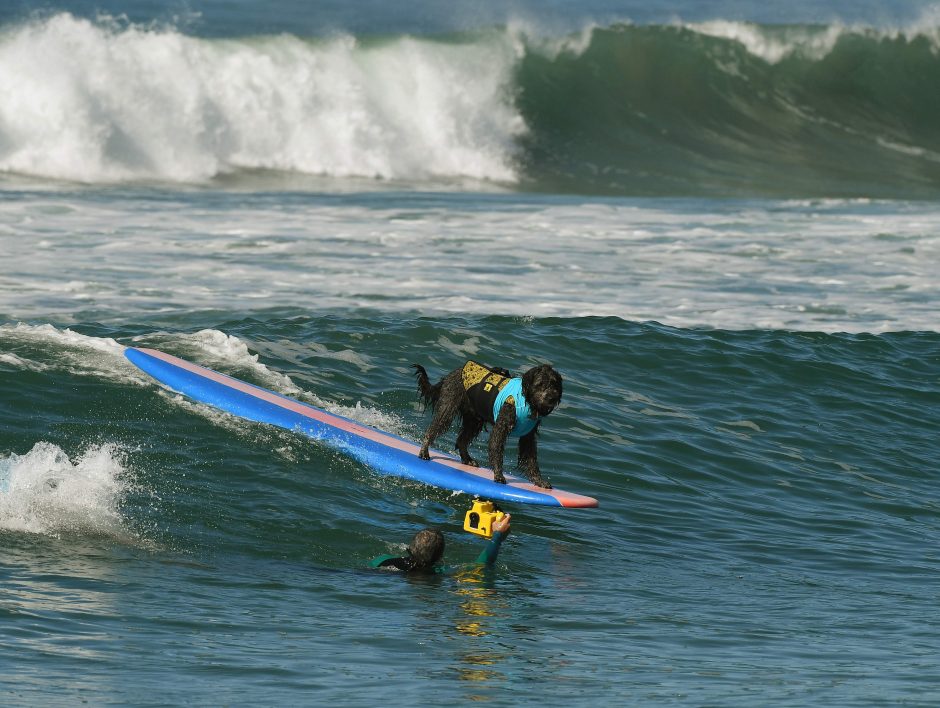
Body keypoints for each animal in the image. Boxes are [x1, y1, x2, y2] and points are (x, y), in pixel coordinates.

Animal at [410, 360, 560, 486]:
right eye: (540, 384)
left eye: (554, 383)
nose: (552, 398)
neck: (527, 401)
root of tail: (451, 375)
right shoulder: (501, 427)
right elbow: (496, 448)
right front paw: (499, 475)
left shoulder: (528, 437)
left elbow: (531, 460)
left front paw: (539, 481)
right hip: (448, 408)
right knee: (433, 429)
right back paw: (424, 451)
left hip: (474, 419)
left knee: (462, 440)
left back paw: (467, 459)